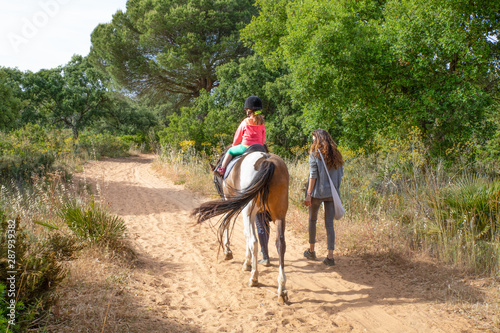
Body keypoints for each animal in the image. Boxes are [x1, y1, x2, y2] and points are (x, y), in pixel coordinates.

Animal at [191, 149, 290, 302]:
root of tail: (267, 160)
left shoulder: (234, 203)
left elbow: (232, 226)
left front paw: (231, 253)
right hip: (279, 214)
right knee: (280, 244)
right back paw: (282, 288)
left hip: (248, 210)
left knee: (254, 240)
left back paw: (254, 277)